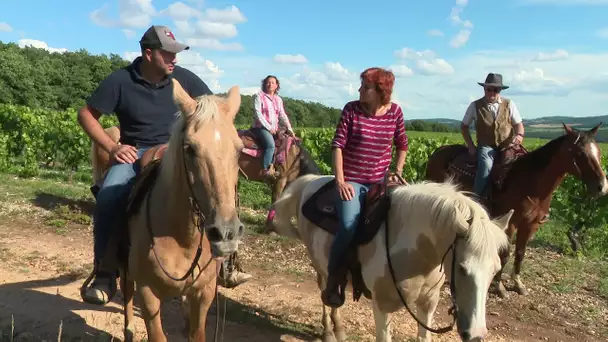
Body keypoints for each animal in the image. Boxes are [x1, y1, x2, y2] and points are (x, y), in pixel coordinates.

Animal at [88, 79, 245, 340]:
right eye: (190, 148)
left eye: (240, 149)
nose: (226, 233)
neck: (181, 238)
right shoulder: (148, 295)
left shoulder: (204, 293)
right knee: (127, 292)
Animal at [268, 175, 510, 340]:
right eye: (461, 268)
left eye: (495, 271)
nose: (476, 334)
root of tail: (311, 181)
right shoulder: (382, 307)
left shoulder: (428, 305)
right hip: (320, 266)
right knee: (325, 293)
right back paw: (329, 331)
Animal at [426, 122, 604, 296]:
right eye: (580, 153)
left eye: (599, 151)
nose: (602, 186)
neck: (531, 183)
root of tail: (439, 151)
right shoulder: (511, 223)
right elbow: (505, 254)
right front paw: (499, 287)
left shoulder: (530, 225)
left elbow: (520, 253)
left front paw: (518, 283)